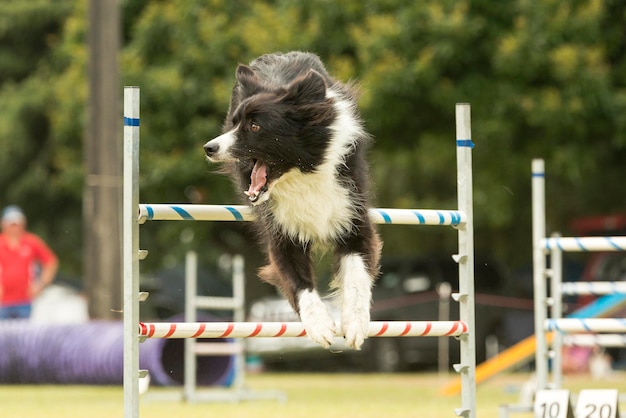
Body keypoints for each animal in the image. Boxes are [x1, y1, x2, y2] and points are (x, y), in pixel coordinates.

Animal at [205, 51, 380, 350]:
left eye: (254, 126)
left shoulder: (351, 209)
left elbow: (357, 272)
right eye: (235, 123)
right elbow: (296, 278)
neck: (301, 174)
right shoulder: (280, 227)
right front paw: (320, 326)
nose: (209, 148)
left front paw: (356, 325)